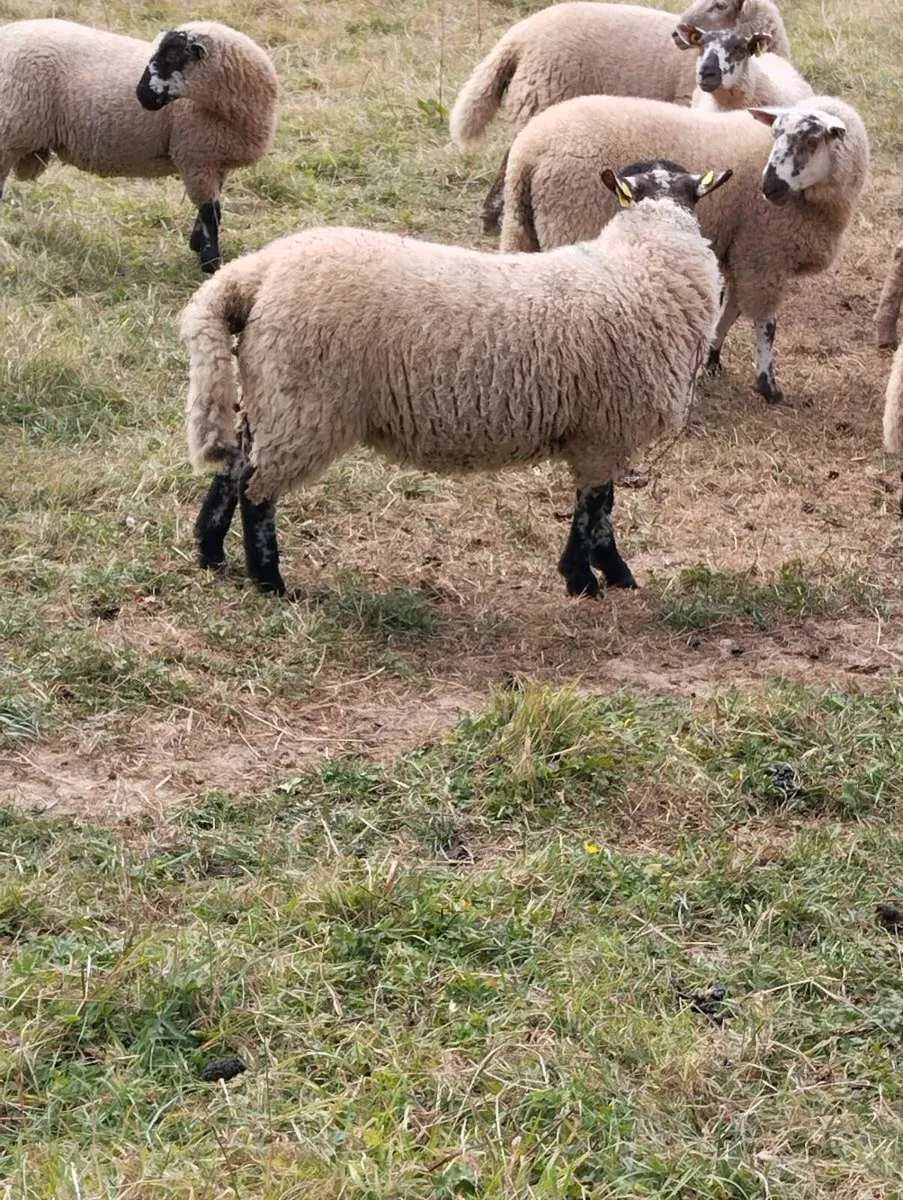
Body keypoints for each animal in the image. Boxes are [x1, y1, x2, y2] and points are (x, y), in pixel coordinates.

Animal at [0, 19, 278, 273]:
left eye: (173, 54)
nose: (141, 95)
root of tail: (8, 31)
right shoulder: (195, 158)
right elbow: (211, 212)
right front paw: (211, 263)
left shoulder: (214, 161)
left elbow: (211, 211)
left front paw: (197, 245)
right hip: (9, 133)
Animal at [179, 160, 731, 599]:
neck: (642, 262)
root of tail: (256, 273)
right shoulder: (603, 431)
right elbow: (594, 509)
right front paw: (589, 578)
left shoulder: (598, 432)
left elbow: (601, 508)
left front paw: (603, 573)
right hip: (303, 403)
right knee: (257, 491)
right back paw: (269, 581)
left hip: (269, 395)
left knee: (233, 470)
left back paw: (211, 554)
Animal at [500, 95, 868, 406]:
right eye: (776, 133)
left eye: (811, 141)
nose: (770, 187)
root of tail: (528, 152)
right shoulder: (764, 254)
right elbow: (766, 325)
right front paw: (768, 386)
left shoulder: (742, 251)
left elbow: (730, 310)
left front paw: (712, 359)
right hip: (572, 226)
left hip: (520, 231)